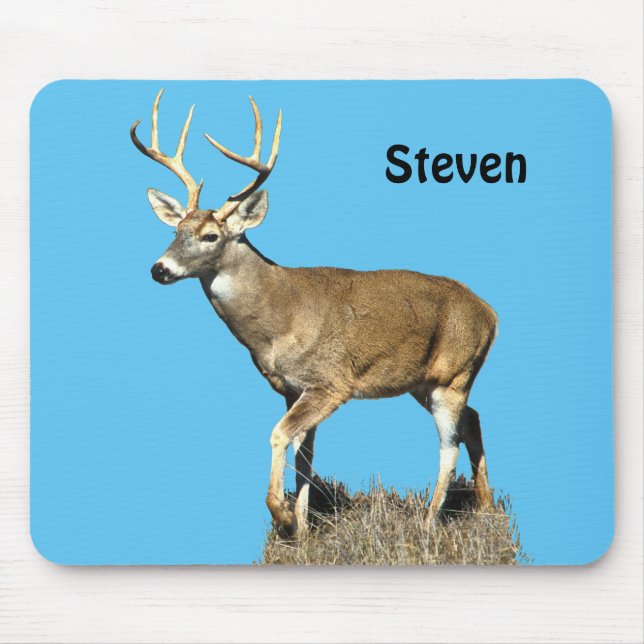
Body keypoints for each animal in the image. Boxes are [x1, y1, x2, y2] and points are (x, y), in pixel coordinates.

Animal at [130, 89, 498, 539]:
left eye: (210, 236)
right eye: (175, 231)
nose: (159, 269)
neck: (277, 322)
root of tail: (491, 312)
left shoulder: (330, 382)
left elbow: (279, 436)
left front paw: (284, 515)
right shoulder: (292, 388)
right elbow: (304, 455)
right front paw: (304, 529)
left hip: (453, 374)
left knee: (449, 444)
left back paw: (428, 522)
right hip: (424, 381)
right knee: (474, 420)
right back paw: (486, 508)